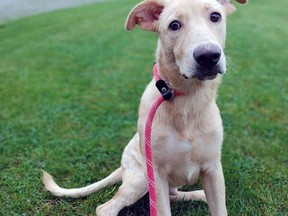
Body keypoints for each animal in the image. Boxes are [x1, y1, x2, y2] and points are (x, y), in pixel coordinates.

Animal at [42, 0, 248, 215]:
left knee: (174, 196)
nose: (208, 56)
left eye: (215, 16)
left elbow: (219, 208)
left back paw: (198, 194)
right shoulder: (156, 175)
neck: (188, 100)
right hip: (141, 179)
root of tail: (122, 167)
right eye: (174, 25)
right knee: (105, 208)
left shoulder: (213, 168)